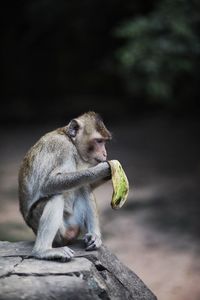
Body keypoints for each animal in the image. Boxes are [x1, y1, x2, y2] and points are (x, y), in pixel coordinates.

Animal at [18, 111, 112, 262]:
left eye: (104, 141)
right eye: (98, 141)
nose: (105, 153)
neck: (70, 140)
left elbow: (86, 184)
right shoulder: (62, 148)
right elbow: (49, 184)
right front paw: (102, 169)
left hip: (74, 223)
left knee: (83, 187)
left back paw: (94, 236)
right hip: (55, 231)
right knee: (57, 195)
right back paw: (42, 251)